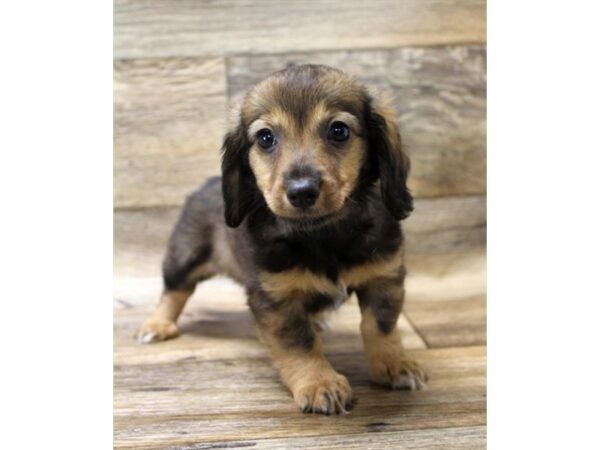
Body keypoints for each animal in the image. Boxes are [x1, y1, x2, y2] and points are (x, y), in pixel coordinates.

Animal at [136, 63, 426, 414]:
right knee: (174, 292)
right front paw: (319, 383)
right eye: (265, 138)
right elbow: (300, 344)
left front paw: (394, 363)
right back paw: (157, 325)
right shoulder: (277, 297)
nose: (301, 192)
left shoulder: (383, 277)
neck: (322, 234)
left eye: (339, 131)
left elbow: (380, 326)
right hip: (184, 257)